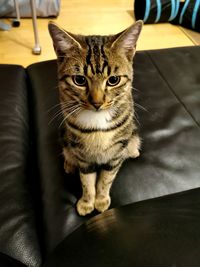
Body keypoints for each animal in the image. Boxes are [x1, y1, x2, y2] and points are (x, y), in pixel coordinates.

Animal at [48, 21, 142, 218]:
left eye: (113, 80)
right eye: (79, 79)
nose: (97, 103)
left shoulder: (116, 153)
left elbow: (106, 178)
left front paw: (101, 199)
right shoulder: (82, 154)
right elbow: (87, 181)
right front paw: (87, 202)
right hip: (65, 136)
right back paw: (69, 163)